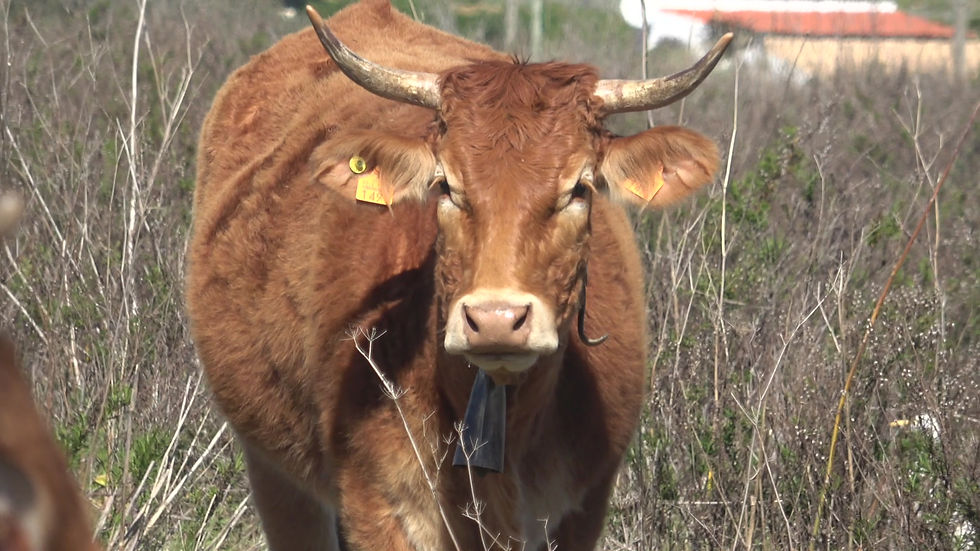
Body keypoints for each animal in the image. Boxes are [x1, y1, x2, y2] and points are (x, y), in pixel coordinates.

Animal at [186, 1, 730, 549]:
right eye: (446, 185)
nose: (495, 320)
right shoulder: (379, 508)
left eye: (579, 188)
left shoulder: (582, 508)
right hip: (277, 477)